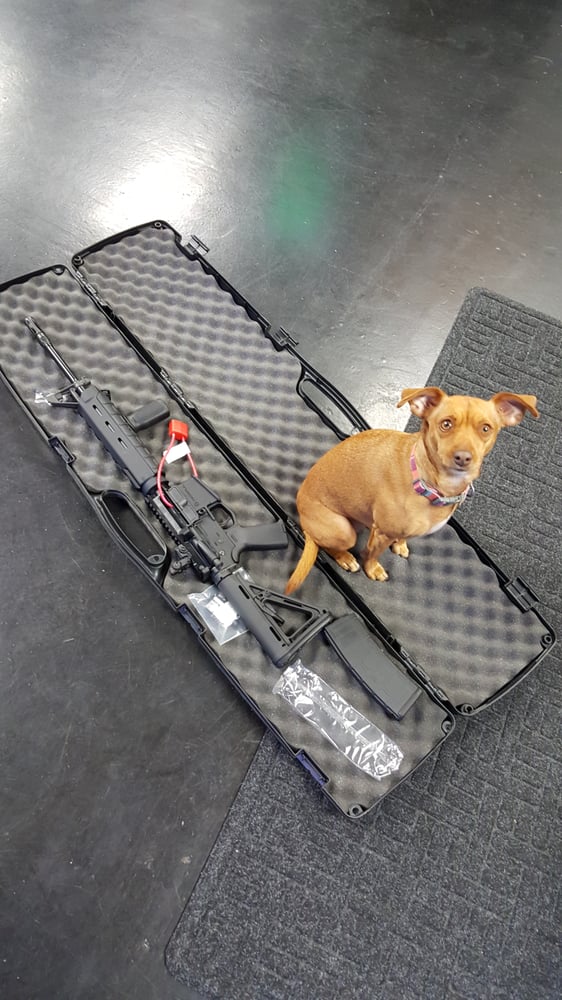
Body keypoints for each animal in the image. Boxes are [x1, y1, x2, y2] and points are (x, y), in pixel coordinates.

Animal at [285, 387, 538, 593]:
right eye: (446, 424)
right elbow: (371, 555)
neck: (429, 485)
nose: (463, 458)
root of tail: (304, 523)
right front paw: (373, 569)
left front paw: (400, 545)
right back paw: (346, 558)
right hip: (343, 531)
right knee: (327, 546)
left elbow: (401, 537)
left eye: (486, 429)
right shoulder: (382, 533)